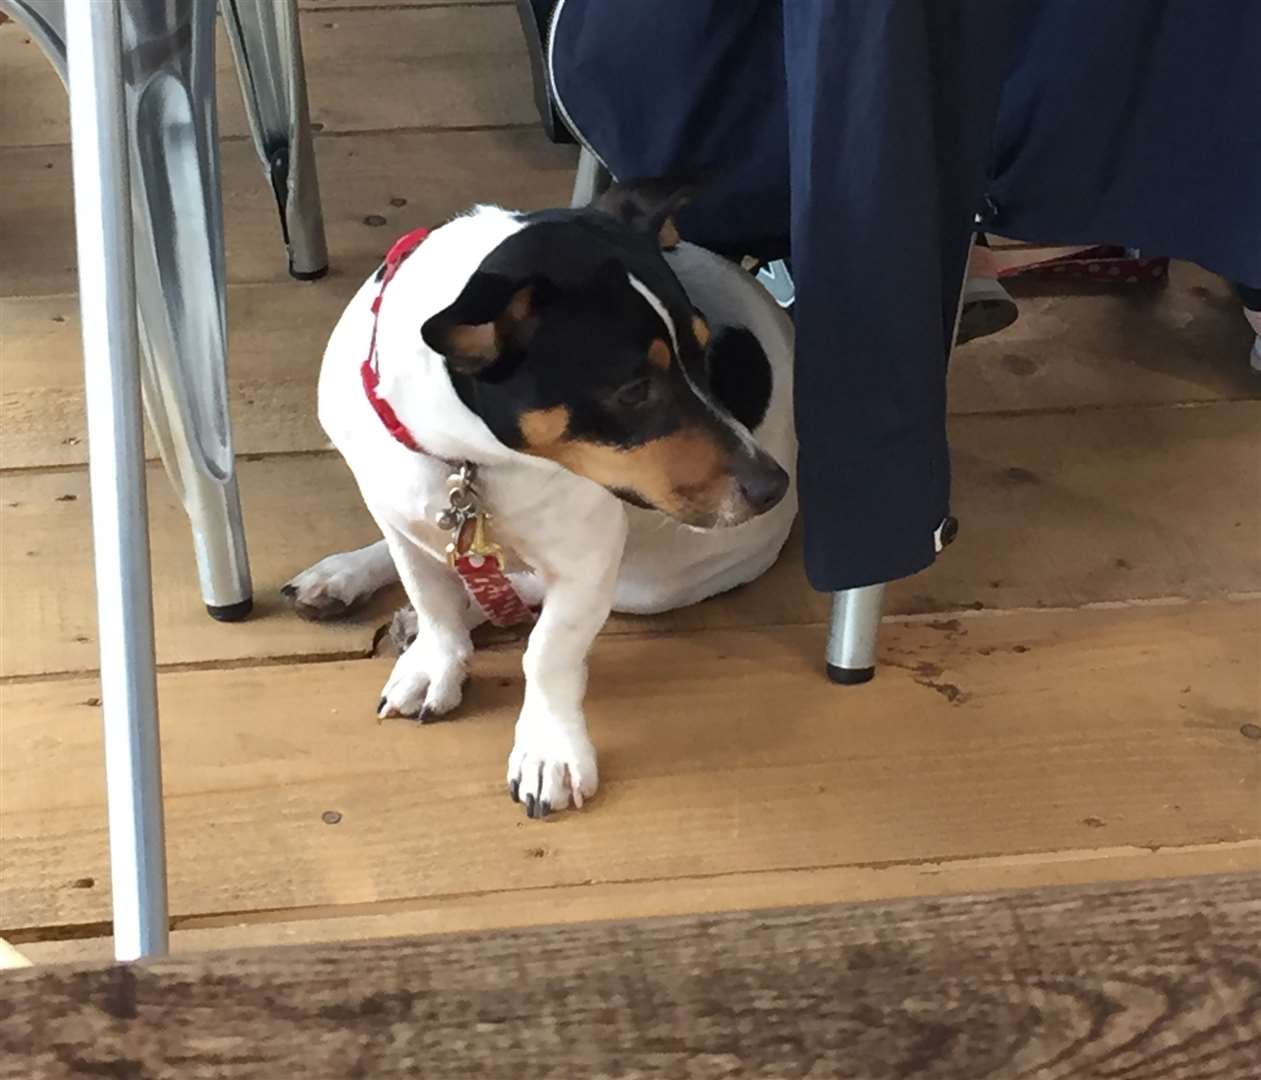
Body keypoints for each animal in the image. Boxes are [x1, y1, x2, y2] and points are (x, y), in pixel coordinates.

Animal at [286, 179, 796, 817]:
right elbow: (431, 597)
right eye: (634, 390)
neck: (467, 458)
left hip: (655, 585)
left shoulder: (586, 560)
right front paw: (436, 659)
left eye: (706, 355)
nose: (773, 486)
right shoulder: (397, 515)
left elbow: (548, 650)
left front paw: (549, 749)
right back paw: (347, 577)